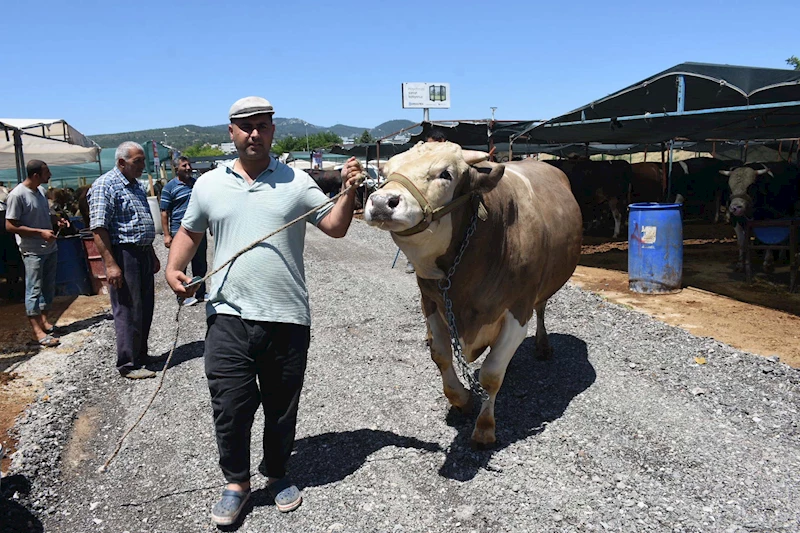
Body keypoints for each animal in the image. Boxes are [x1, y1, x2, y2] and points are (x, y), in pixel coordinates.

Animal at [364, 140, 580, 444]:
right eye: (386, 172)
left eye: (446, 174)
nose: (383, 202)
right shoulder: (431, 303)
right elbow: (440, 355)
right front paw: (463, 400)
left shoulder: (517, 310)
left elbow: (491, 374)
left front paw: (485, 428)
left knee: (541, 308)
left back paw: (542, 345)